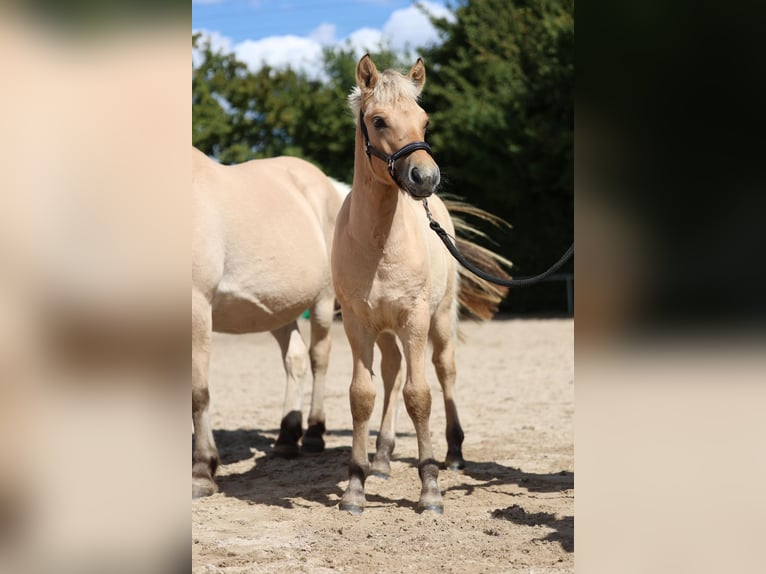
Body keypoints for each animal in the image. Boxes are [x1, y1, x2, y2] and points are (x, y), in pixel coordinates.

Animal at [192, 147, 343, 498]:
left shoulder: (196, 306)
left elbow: (198, 392)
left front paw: (202, 470)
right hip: (277, 309)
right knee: (295, 359)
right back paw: (287, 438)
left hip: (323, 301)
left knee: (319, 358)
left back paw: (314, 434)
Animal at [331, 54, 511, 514]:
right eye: (378, 120)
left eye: (424, 121)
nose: (425, 177)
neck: (378, 242)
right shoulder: (357, 323)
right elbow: (362, 395)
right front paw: (355, 486)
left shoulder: (414, 319)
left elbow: (420, 395)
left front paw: (430, 488)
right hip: (385, 330)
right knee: (392, 372)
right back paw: (381, 458)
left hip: (440, 320)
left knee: (444, 371)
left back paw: (454, 454)